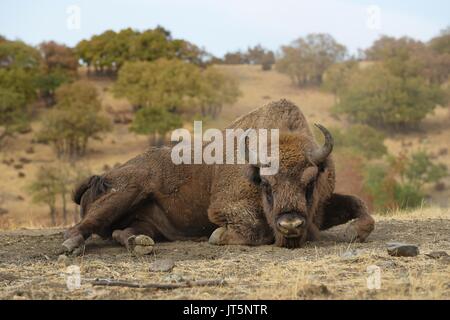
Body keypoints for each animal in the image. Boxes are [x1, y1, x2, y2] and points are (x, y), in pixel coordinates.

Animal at [62, 99, 372, 254]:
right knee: (82, 226)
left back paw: (138, 244)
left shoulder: (320, 207)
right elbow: (253, 228)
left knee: (123, 232)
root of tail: (101, 176)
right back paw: (71, 246)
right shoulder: (224, 207)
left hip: (146, 221)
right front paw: (217, 235)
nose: (291, 225)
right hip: (127, 190)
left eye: (310, 182)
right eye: (266, 185)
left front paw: (354, 233)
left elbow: (359, 205)